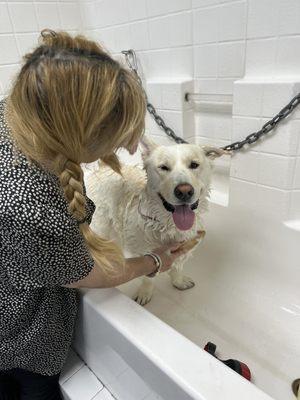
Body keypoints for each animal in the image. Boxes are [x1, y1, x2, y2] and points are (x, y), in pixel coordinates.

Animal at [85, 138, 224, 306]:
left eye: (194, 164)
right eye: (164, 167)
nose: (184, 191)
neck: (168, 223)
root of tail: (103, 168)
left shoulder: (184, 244)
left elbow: (177, 267)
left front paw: (178, 281)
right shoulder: (147, 251)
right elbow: (148, 276)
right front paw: (145, 292)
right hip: (101, 225)